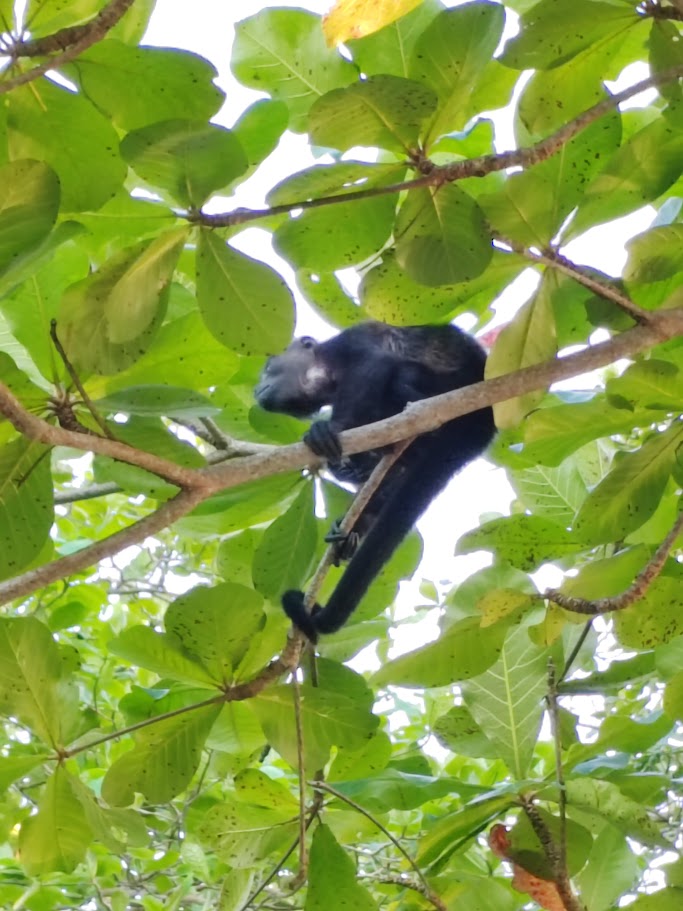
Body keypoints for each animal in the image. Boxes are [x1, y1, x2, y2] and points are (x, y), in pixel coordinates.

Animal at [254, 321, 495, 643]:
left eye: (269, 368)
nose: (256, 389)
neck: (325, 373)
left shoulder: (356, 338)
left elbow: (374, 364)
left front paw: (331, 427)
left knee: (402, 376)